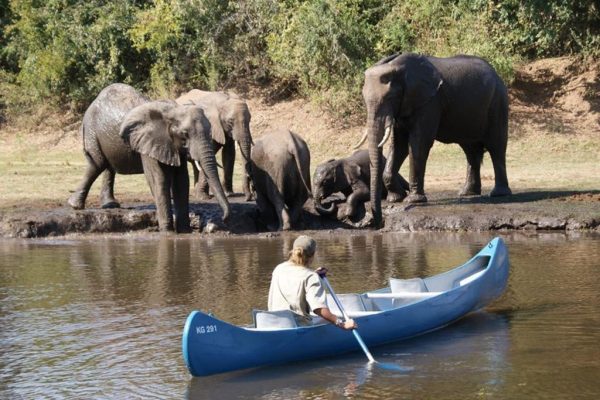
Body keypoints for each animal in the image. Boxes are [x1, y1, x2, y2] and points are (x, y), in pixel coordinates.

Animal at [67, 83, 231, 233]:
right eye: (184, 134)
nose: (223, 219)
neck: (173, 111)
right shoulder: (149, 142)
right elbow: (159, 179)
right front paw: (167, 232)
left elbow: (182, 181)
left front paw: (184, 231)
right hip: (91, 130)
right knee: (97, 164)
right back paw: (75, 205)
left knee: (108, 167)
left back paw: (110, 205)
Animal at [358, 53, 512, 227]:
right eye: (364, 98)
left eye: (390, 97)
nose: (378, 222)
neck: (398, 67)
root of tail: (497, 74)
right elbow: (399, 145)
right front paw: (396, 198)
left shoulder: (429, 102)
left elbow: (418, 143)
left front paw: (413, 201)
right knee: (470, 150)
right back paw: (467, 193)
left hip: (498, 102)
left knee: (496, 146)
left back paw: (499, 194)